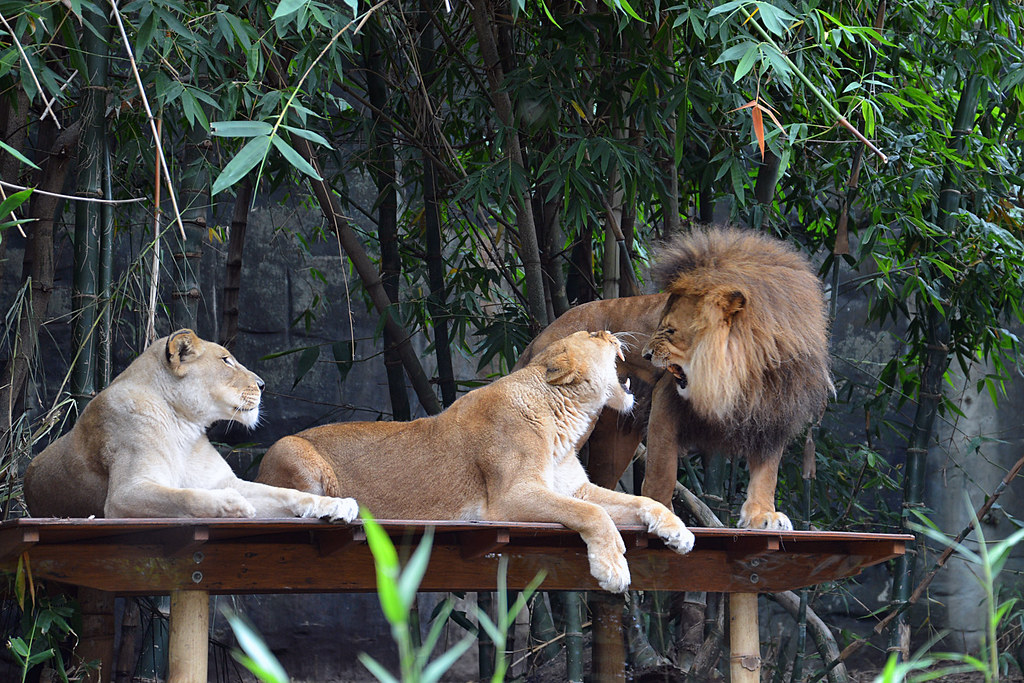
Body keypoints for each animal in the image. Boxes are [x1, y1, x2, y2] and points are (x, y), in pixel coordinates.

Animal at [23, 327, 360, 520]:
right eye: (226, 360)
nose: (263, 385)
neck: (183, 426)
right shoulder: (124, 495)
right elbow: (182, 495)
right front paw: (234, 506)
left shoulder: (226, 480)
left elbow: (284, 493)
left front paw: (336, 504)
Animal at [258, 331, 696, 593]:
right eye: (592, 335)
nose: (610, 332)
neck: (565, 419)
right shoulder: (511, 497)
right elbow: (593, 514)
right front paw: (613, 568)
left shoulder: (576, 488)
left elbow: (641, 501)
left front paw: (678, 531)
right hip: (289, 448)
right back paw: (335, 509)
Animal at [516, 227, 835, 532]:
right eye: (659, 325)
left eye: (669, 331)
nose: (644, 354)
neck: (748, 373)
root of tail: (540, 337)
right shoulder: (666, 400)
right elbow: (662, 469)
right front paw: (663, 515)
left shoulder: (775, 412)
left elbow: (767, 474)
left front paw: (763, 516)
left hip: (615, 438)